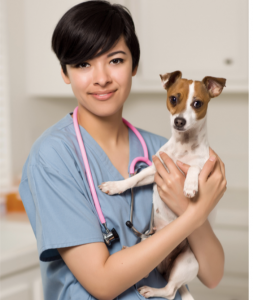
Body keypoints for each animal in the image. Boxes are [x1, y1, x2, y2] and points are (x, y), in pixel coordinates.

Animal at [98, 71, 226, 300]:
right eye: (174, 99)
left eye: (197, 103)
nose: (179, 120)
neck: (184, 146)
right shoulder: (154, 172)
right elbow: (134, 179)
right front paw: (115, 186)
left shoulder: (207, 169)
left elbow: (194, 167)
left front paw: (190, 186)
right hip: (152, 247)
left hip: (187, 261)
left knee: (170, 290)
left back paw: (151, 290)